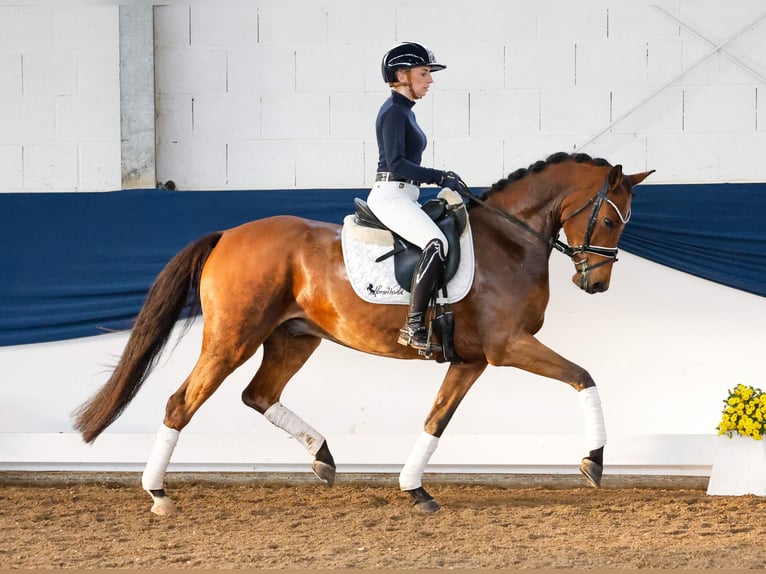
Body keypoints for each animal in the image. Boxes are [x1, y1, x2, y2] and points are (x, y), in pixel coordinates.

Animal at [75, 153, 656, 516]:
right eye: (611, 220)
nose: (596, 284)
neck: (510, 241)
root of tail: (228, 235)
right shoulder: (508, 347)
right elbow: (584, 377)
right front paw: (594, 461)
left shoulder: (471, 359)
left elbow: (436, 420)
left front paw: (414, 490)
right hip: (231, 339)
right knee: (181, 403)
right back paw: (158, 493)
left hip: (294, 337)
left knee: (258, 394)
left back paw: (324, 458)